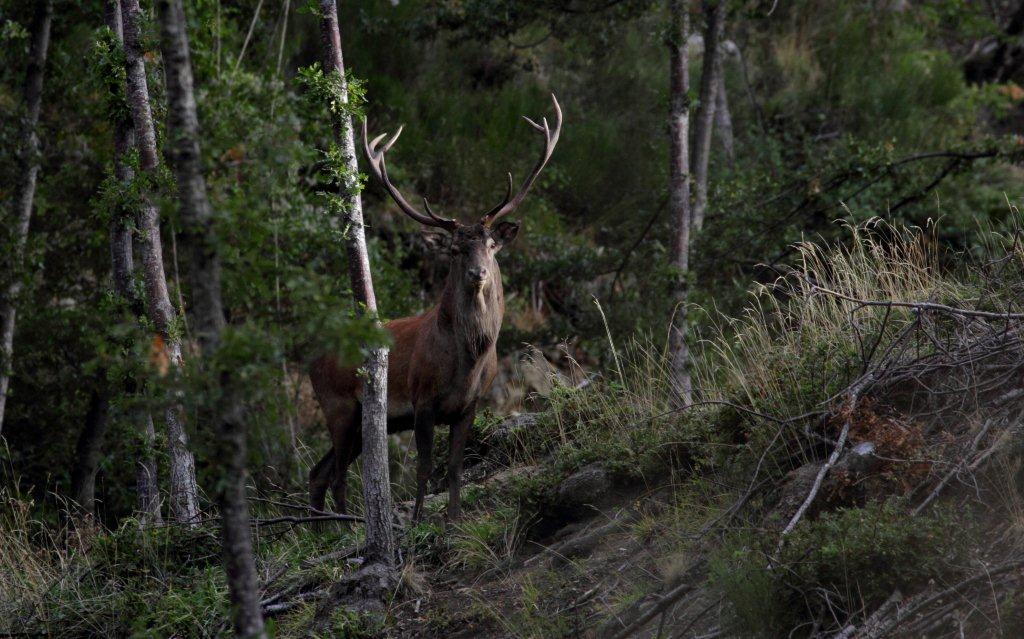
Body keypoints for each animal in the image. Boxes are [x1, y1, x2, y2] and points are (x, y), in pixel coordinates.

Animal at [307, 94, 565, 522]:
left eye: (491, 244)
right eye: (456, 249)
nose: (478, 273)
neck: (468, 360)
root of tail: (311, 360)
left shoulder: (469, 405)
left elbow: (455, 466)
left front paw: (454, 519)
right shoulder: (422, 399)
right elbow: (425, 468)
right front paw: (416, 522)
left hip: (359, 423)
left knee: (318, 473)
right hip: (339, 405)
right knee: (337, 477)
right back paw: (343, 528)